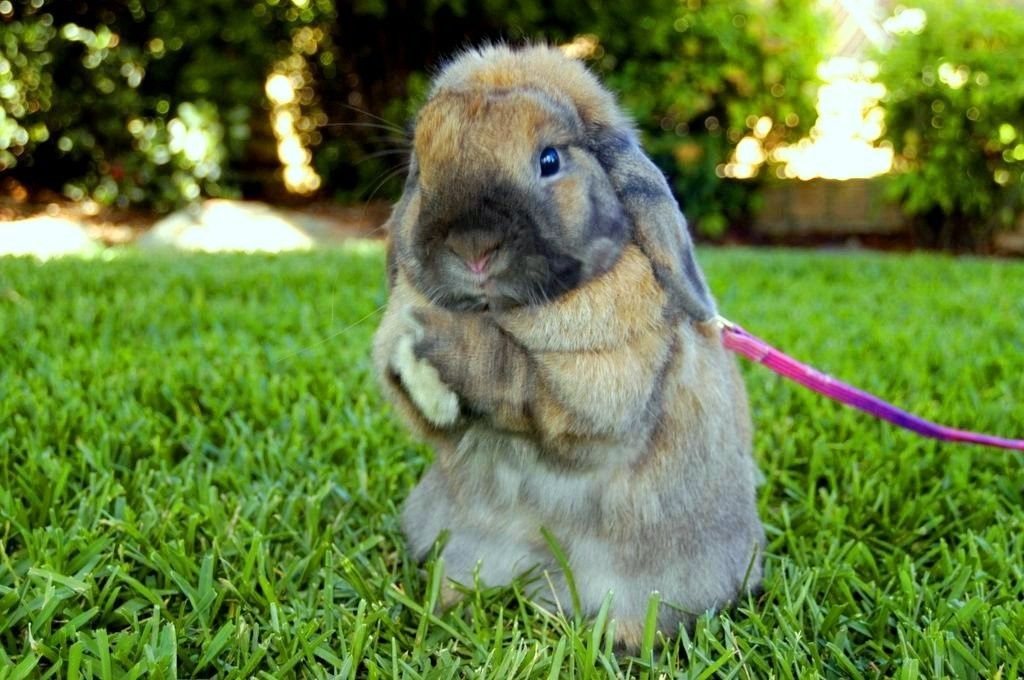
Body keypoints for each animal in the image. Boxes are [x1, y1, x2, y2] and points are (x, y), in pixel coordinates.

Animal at [371, 43, 764, 649]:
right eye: (422, 166)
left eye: (550, 160)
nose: (474, 249)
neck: (500, 313)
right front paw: (417, 360)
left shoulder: (598, 386)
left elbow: (516, 377)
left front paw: (436, 339)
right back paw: (452, 598)